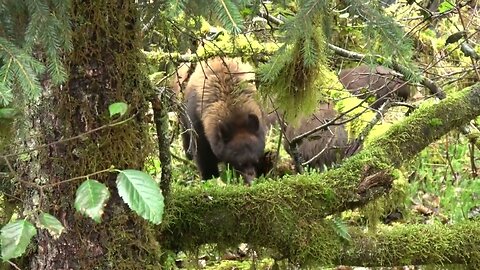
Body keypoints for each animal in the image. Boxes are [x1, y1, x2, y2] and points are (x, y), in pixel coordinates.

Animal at [174, 56, 268, 184]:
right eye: (239, 163)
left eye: (255, 161)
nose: (250, 181)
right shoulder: (196, 121)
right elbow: (202, 153)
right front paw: (209, 177)